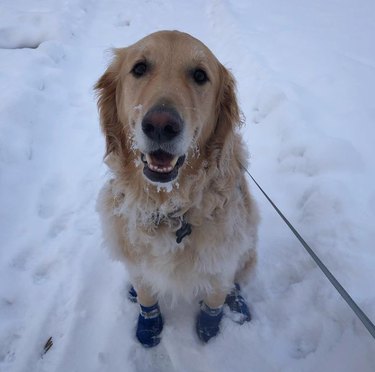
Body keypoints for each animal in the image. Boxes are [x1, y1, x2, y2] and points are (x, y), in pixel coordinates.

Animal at [95, 30, 260, 348]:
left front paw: (209, 328)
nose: (161, 125)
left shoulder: (223, 258)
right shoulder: (136, 260)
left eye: (200, 75)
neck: (169, 206)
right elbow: (147, 295)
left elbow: (216, 295)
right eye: (139, 68)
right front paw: (149, 325)